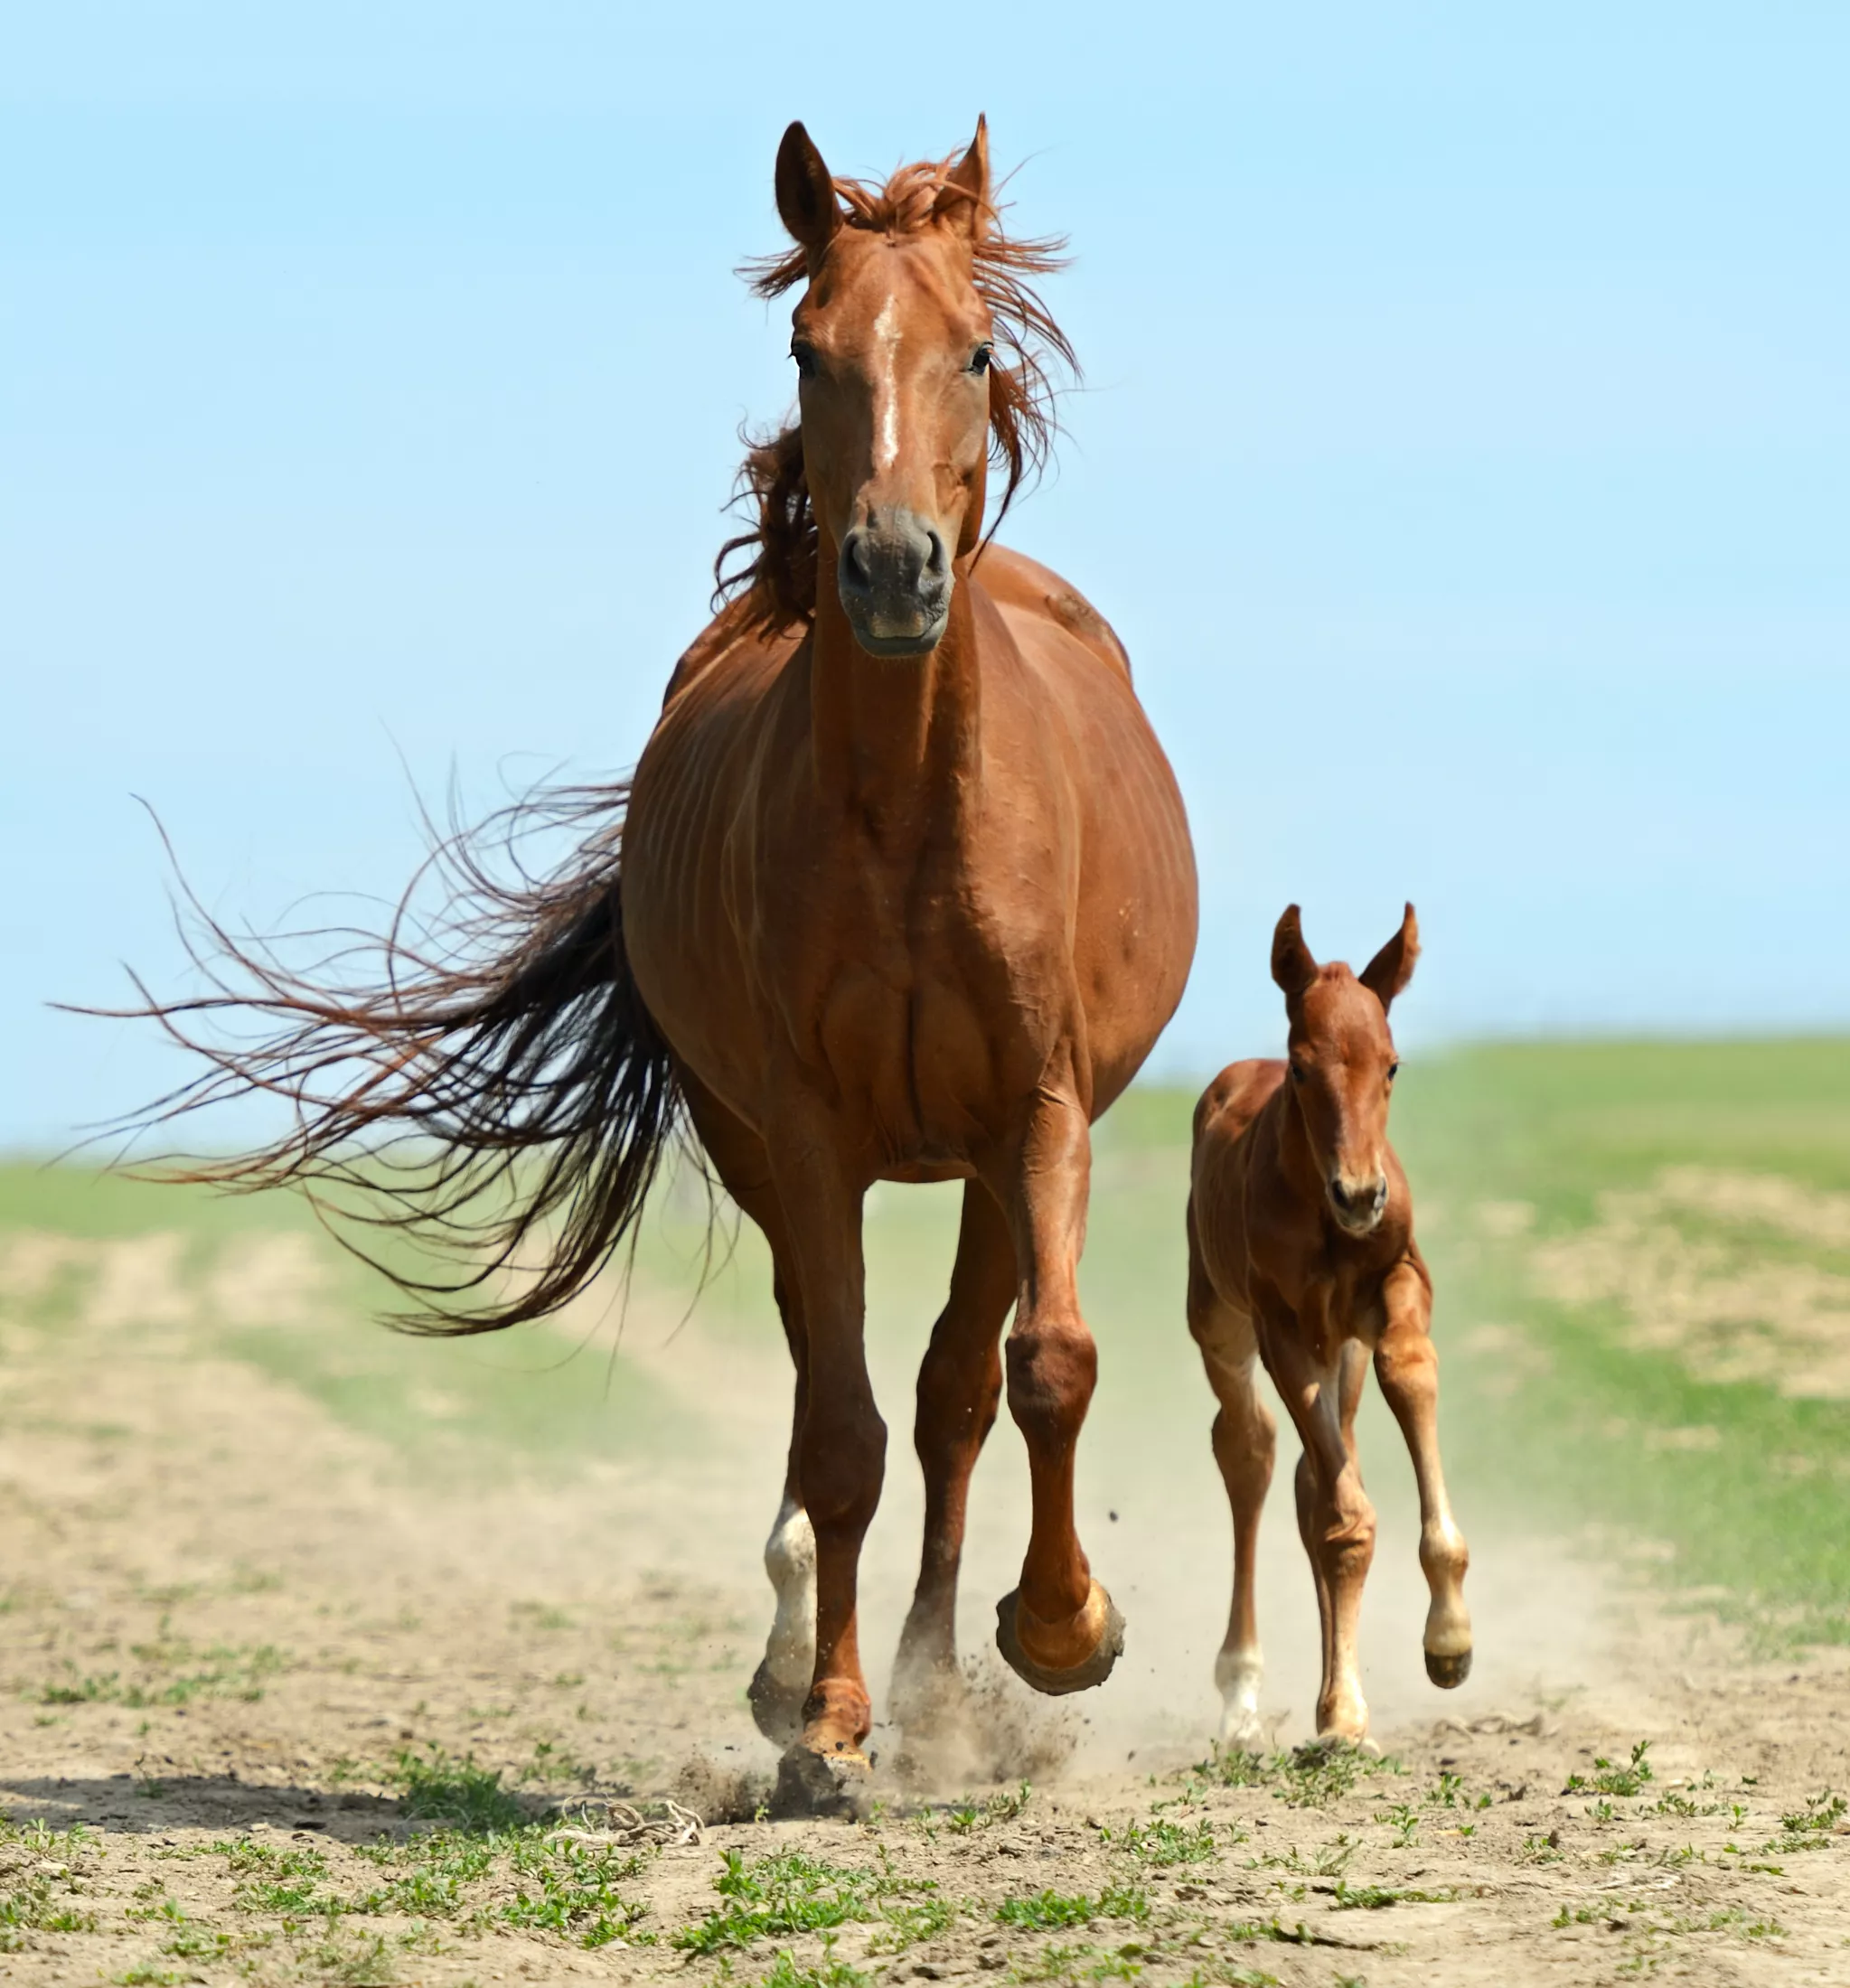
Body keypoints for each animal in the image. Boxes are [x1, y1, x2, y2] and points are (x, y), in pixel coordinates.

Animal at [1185, 910, 1471, 1749]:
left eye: (1392, 1065)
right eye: (1302, 1069)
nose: (1359, 1195)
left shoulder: (1396, 1285)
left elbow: (1407, 1370)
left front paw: (1448, 1639)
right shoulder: (1280, 1326)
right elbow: (1345, 1519)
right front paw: (1342, 1714)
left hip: (1339, 1348)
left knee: (1313, 1477)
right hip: (1219, 1322)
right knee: (1248, 1450)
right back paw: (1243, 1695)